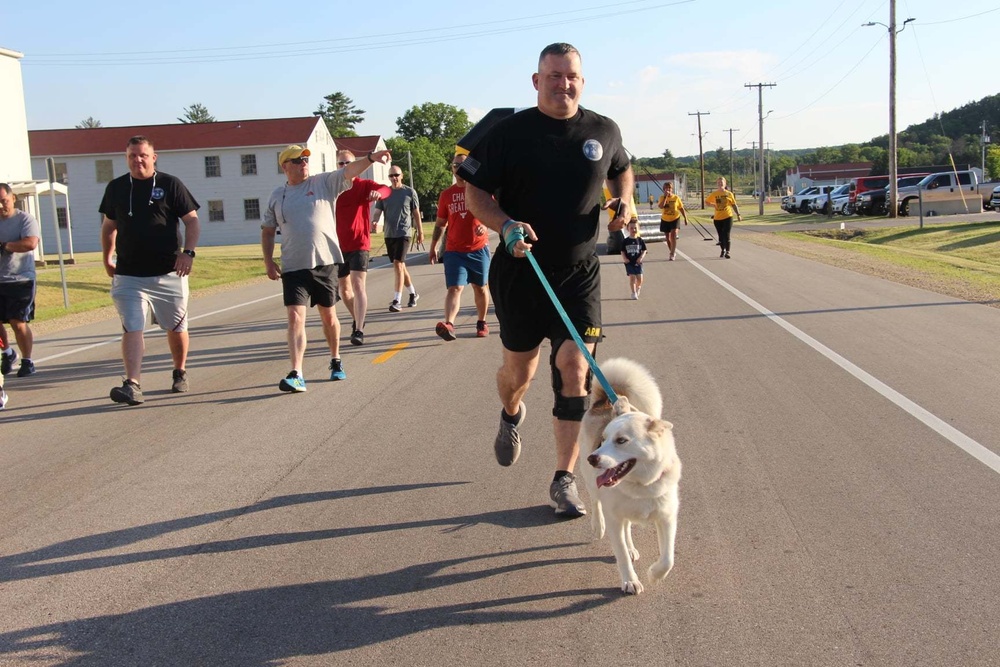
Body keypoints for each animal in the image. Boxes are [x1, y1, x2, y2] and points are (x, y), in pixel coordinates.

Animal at [576, 360, 684, 596]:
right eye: (603, 439)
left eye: (621, 441)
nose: (593, 458)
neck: (641, 485)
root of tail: (607, 401)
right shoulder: (614, 519)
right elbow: (622, 554)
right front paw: (630, 581)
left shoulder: (667, 518)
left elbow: (668, 559)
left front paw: (654, 574)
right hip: (591, 482)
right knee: (596, 500)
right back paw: (598, 526)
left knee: (627, 529)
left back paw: (633, 548)